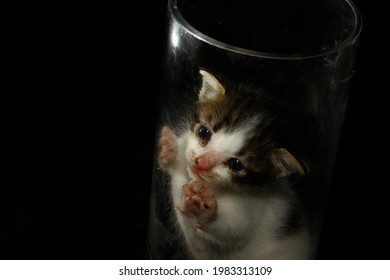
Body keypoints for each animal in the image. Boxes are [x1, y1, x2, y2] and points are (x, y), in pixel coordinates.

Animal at [155, 69, 314, 260]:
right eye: (203, 132)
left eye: (236, 164)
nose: (202, 163)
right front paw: (171, 149)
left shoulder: (253, 206)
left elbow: (234, 230)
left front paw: (202, 209)